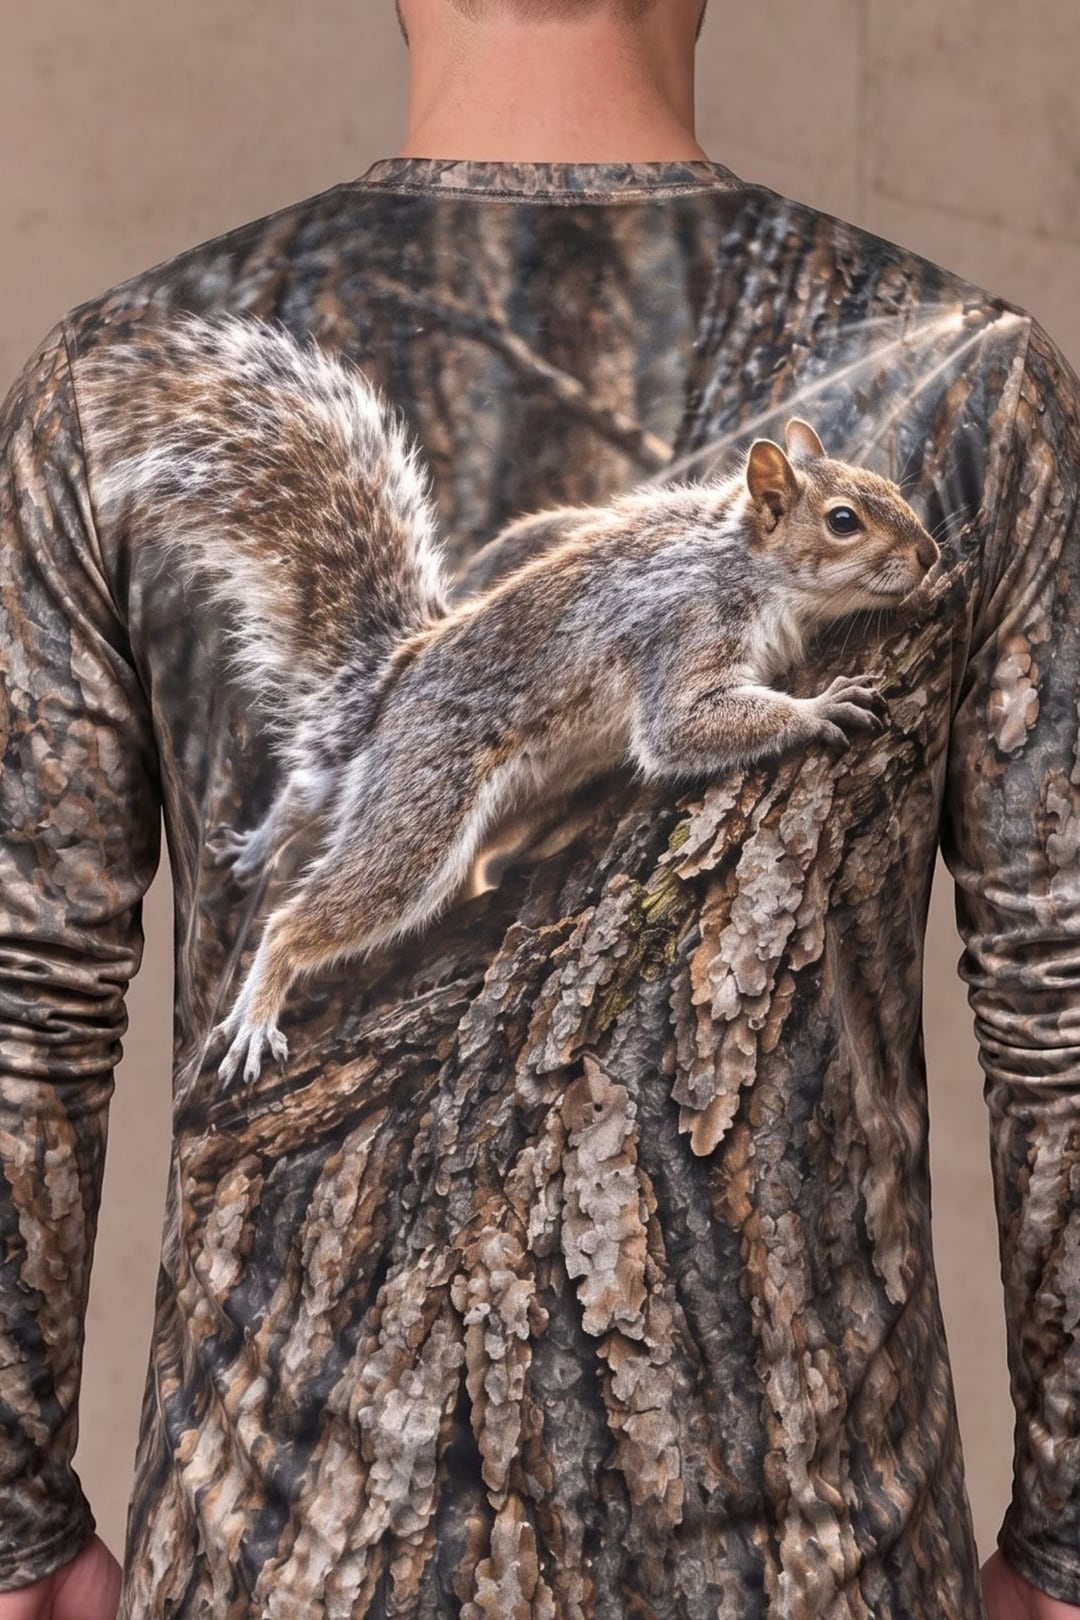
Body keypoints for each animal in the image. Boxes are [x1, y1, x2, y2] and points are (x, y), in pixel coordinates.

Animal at [74, 311, 941, 1088]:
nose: (930, 553)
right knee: (308, 913)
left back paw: (267, 839)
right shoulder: (682, 626)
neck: (748, 565)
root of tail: (393, 684)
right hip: (423, 805)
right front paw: (820, 707)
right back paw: (259, 1009)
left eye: (888, 487)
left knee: (321, 796)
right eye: (843, 521)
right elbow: (679, 729)